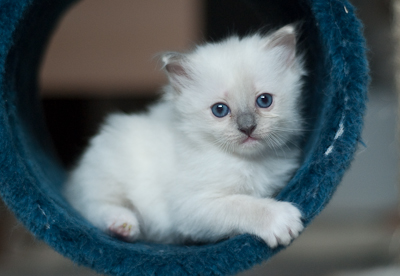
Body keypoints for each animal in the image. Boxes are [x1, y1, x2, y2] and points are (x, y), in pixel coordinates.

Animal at [64, 24, 304, 248]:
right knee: (92, 207)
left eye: (264, 100)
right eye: (220, 110)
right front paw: (282, 220)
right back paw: (123, 225)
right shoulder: (191, 206)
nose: (247, 127)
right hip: (107, 172)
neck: (251, 162)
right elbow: (242, 205)